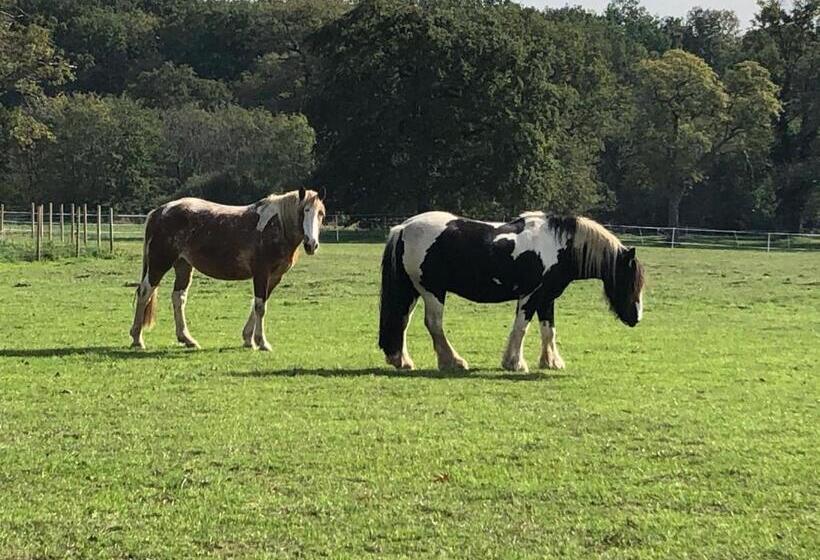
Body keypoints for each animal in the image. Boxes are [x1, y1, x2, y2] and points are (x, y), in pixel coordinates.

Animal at [130, 188, 326, 350]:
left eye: (321, 214)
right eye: (304, 211)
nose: (311, 244)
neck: (275, 225)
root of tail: (159, 211)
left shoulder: (274, 277)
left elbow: (257, 304)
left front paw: (248, 339)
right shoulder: (261, 273)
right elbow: (260, 306)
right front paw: (262, 342)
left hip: (183, 266)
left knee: (178, 298)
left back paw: (187, 339)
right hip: (159, 264)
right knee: (145, 292)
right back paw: (137, 339)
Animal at [380, 212, 648, 374]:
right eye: (630, 282)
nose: (636, 318)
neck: (558, 246)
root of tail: (403, 227)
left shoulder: (546, 298)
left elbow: (548, 331)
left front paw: (551, 362)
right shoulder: (530, 296)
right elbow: (521, 328)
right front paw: (515, 363)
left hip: (414, 291)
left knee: (402, 322)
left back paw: (402, 360)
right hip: (433, 291)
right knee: (433, 324)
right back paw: (453, 362)